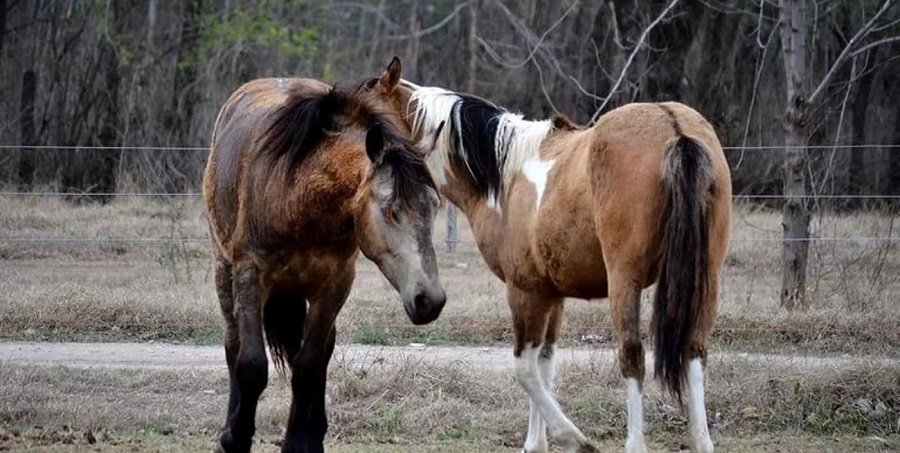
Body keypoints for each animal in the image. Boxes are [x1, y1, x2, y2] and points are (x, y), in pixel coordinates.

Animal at [202, 76, 444, 450]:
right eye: (391, 210)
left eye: (435, 206)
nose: (430, 300)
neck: (296, 193)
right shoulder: (249, 275)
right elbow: (250, 364)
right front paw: (235, 437)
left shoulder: (334, 284)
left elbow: (309, 366)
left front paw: (299, 442)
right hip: (223, 269)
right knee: (233, 345)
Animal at [364, 60, 732, 452]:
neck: (503, 177)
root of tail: (673, 127)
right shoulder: (551, 294)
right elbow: (544, 365)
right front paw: (536, 442)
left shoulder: (524, 291)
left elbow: (525, 369)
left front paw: (571, 438)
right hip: (706, 278)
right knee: (694, 350)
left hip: (626, 281)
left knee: (632, 356)